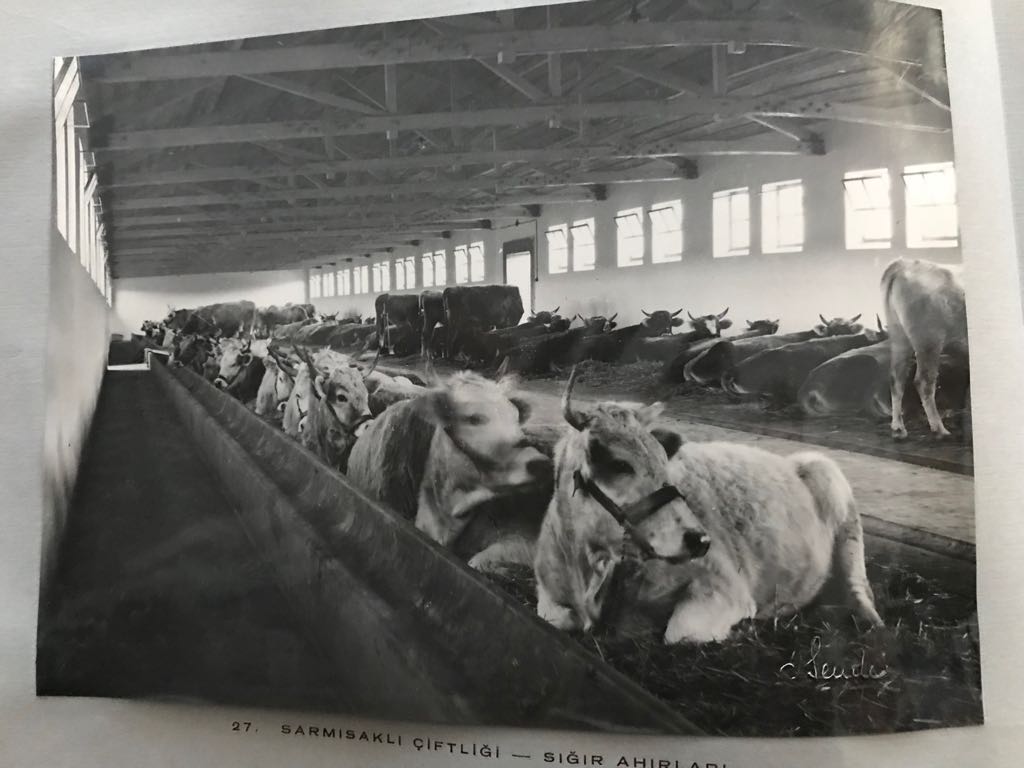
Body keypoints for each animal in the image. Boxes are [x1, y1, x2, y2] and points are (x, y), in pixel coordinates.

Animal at [533, 369, 883, 643]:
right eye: (620, 464)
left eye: (663, 459)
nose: (699, 539)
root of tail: (792, 459)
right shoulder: (550, 599)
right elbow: (555, 617)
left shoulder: (724, 588)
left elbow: (677, 633)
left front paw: (745, 626)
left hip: (839, 502)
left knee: (860, 586)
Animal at [881, 258, 968, 440]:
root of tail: (903, 264)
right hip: (929, 340)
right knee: (924, 382)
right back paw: (939, 429)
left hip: (899, 337)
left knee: (896, 378)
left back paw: (898, 428)